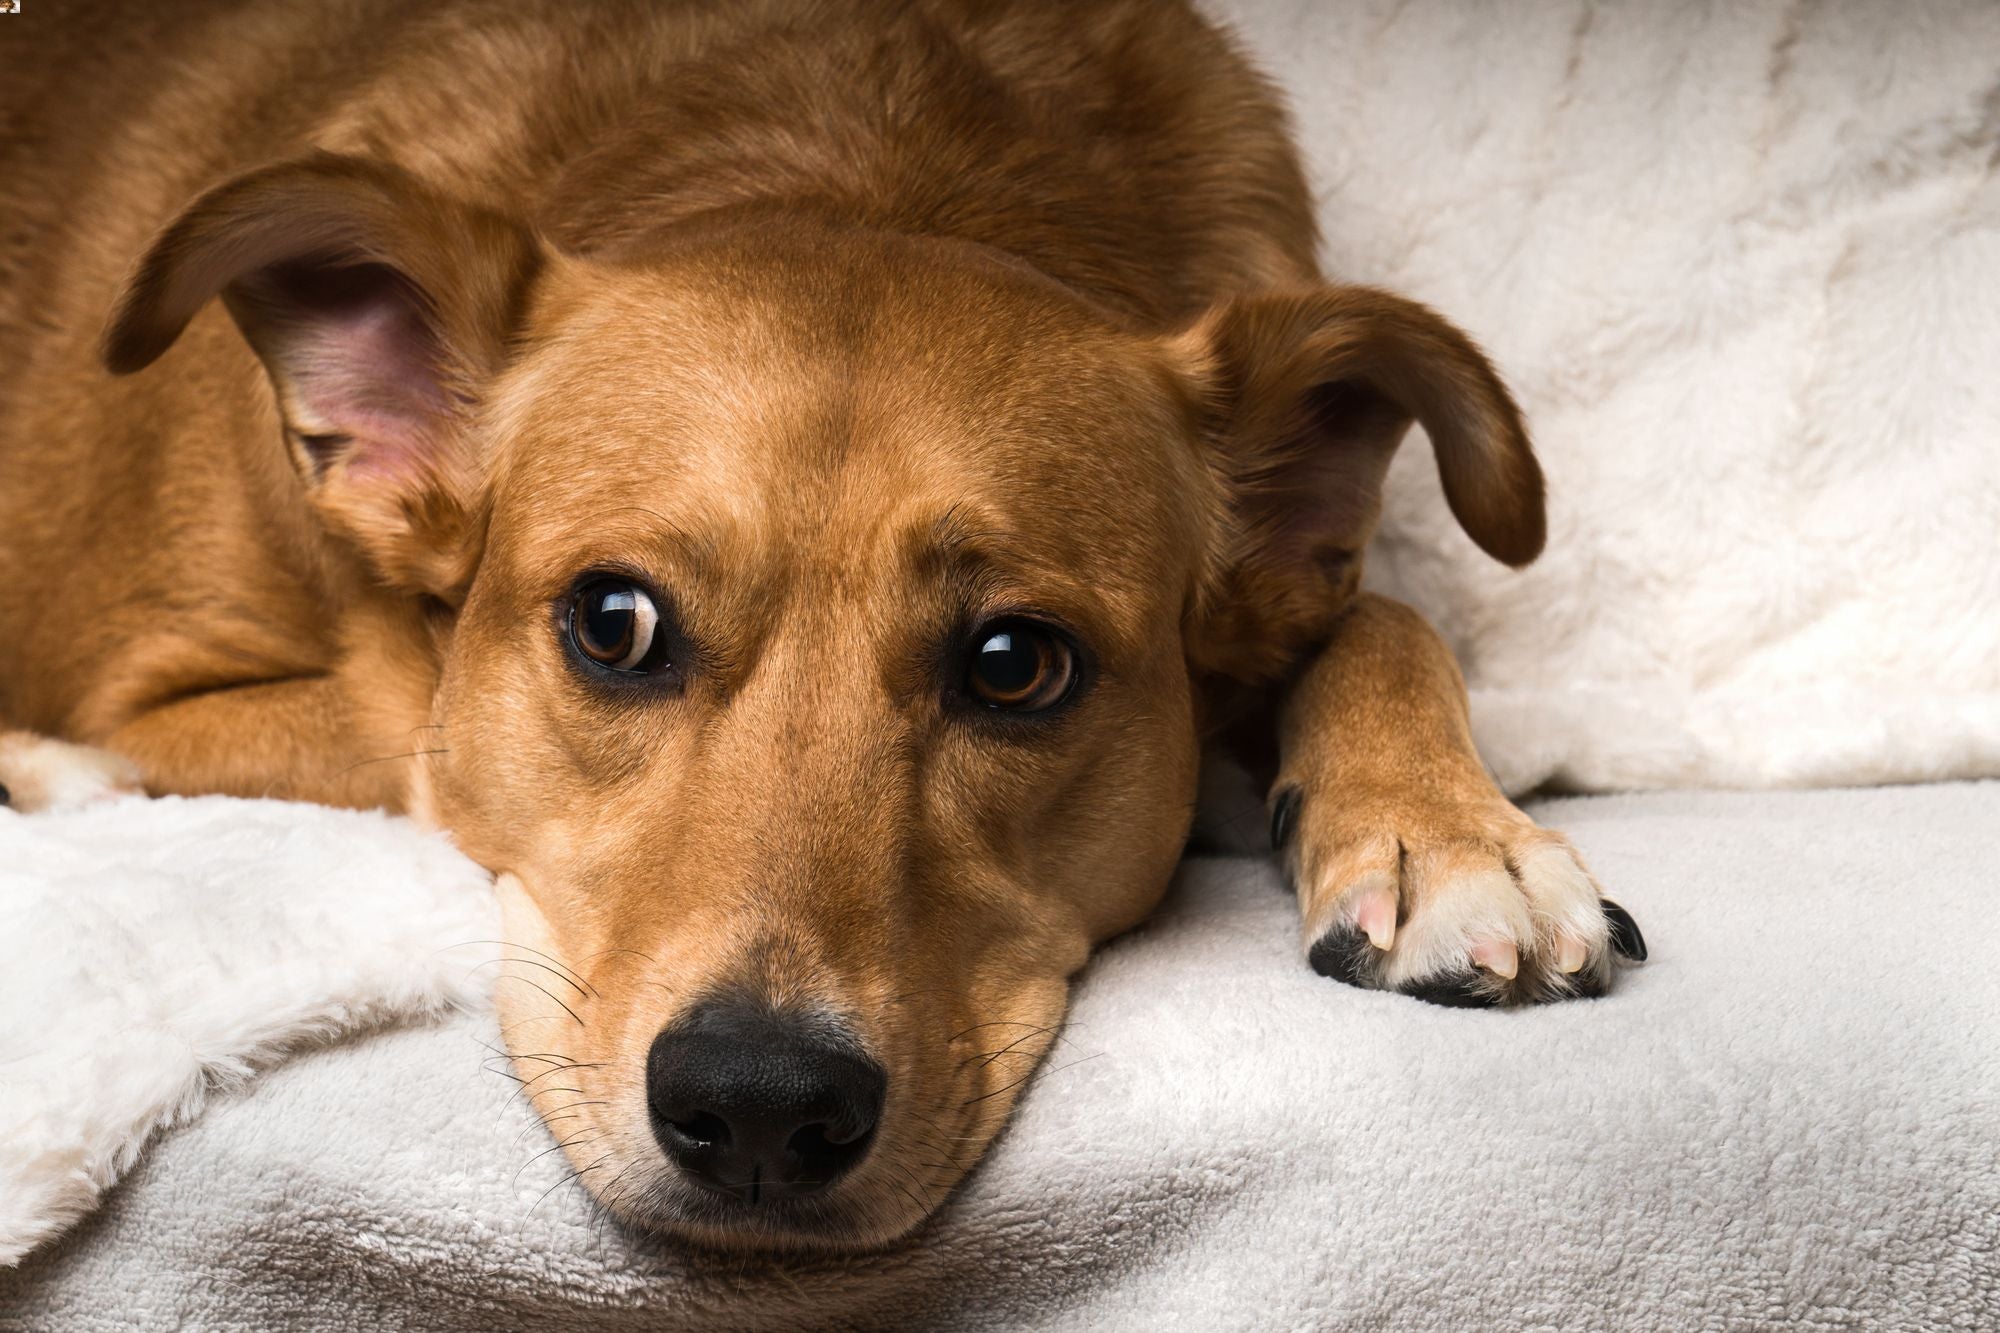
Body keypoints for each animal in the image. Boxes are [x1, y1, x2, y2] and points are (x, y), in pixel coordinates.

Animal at [3, 0, 1640, 1248]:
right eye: (612, 624)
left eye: (1014, 665)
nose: (758, 1112)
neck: (873, 166)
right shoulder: (178, 696)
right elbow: (402, 733)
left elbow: (1386, 612)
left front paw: (1451, 832)